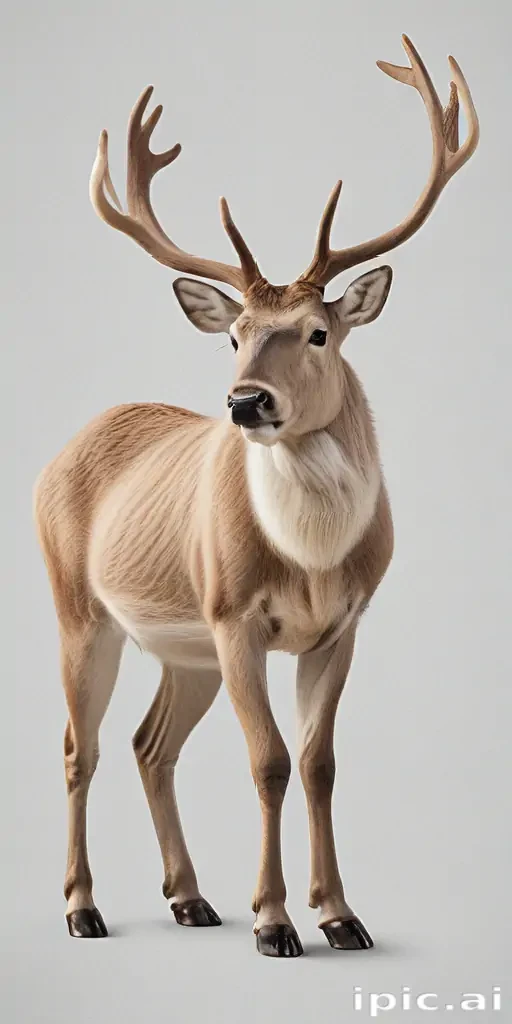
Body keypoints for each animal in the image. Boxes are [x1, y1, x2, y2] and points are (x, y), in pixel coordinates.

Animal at [34, 36, 478, 957]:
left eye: (318, 331)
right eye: (234, 334)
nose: (245, 402)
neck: (310, 561)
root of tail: (62, 449)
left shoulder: (341, 625)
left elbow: (318, 763)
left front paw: (341, 915)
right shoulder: (234, 613)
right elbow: (268, 761)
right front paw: (275, 922)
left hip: (182, 648)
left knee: (149, 743)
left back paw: (190, 898)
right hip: (80, 610)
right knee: (78, 747)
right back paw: (83, 908)